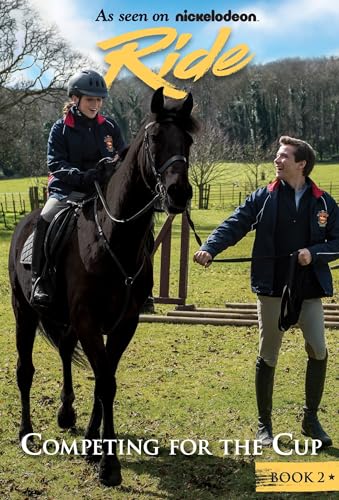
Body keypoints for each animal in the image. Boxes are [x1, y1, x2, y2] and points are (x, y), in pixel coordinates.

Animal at [7, 88, 198, 486]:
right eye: (155, 139)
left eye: (187, 141)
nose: (179, 193)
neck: (113, 239)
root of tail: (24, 224)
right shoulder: (90, 322)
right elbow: (105, 382)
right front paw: (109, 465)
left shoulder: (123, 324)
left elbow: (103, 379)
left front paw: (93, 446)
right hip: (24, 312)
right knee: (24, 370)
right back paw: (25, 431)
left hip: (65, 320)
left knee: (65, 352)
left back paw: (66, 414)